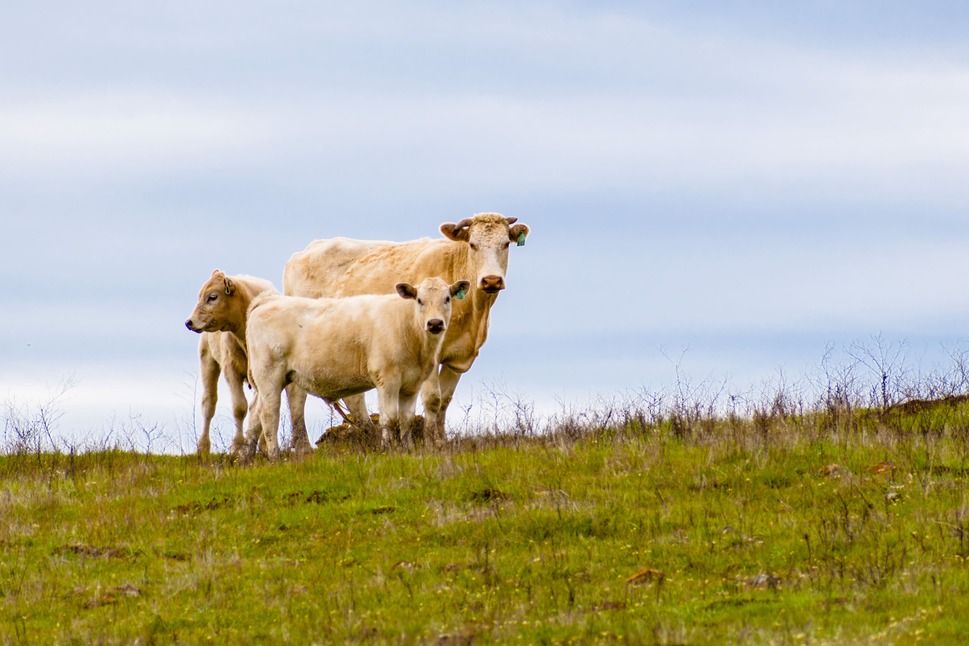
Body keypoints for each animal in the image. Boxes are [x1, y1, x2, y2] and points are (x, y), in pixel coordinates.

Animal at [184, 269, 313, 456]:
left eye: (212, 297)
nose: (189, 322)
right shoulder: (230, 369)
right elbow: (240, 407)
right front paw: (238, 446)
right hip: (207, 358)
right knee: (209, 403)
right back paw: (203, 446)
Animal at [244, 277, 470, 458]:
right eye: (419, 300)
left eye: (447, 299)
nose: (435, 323)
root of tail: (270, 300)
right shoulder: (387, 378)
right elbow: (389, 418)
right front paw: (388, 449)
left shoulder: (411, 384)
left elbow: (406, 419)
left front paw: (408, 449)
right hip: (269, 375)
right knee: (269, 414)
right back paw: (274, 456)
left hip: (268, 381)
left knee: (255, 413)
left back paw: (246, 458)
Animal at [282, 212, 530, 445]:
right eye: (472, 244)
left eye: (505, 244)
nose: (491, 280)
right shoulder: (431, 354)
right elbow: (432, 399)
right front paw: (430, 443)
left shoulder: (457, 359)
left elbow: (444, 401)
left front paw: (441, 440)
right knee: (296, 393)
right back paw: (304, 446)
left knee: (353, 398)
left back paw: (369, 435)